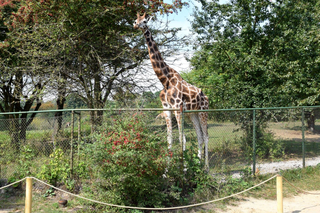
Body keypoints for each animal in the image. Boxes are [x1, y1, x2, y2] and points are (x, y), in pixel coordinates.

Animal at [133, 12, 210, 166]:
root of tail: (206, 97)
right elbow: (170, 139)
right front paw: (167, 170)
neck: (165, 80)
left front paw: (183, 168)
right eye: (136, 19)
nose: (136, 25)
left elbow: (182, 139)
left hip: (203, 112)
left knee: (206, 136)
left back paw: (206, 168)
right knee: (199, 136)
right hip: (193, 114)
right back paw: (199, 166)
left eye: (145, 21)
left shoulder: (177, 108)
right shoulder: (167, 108)